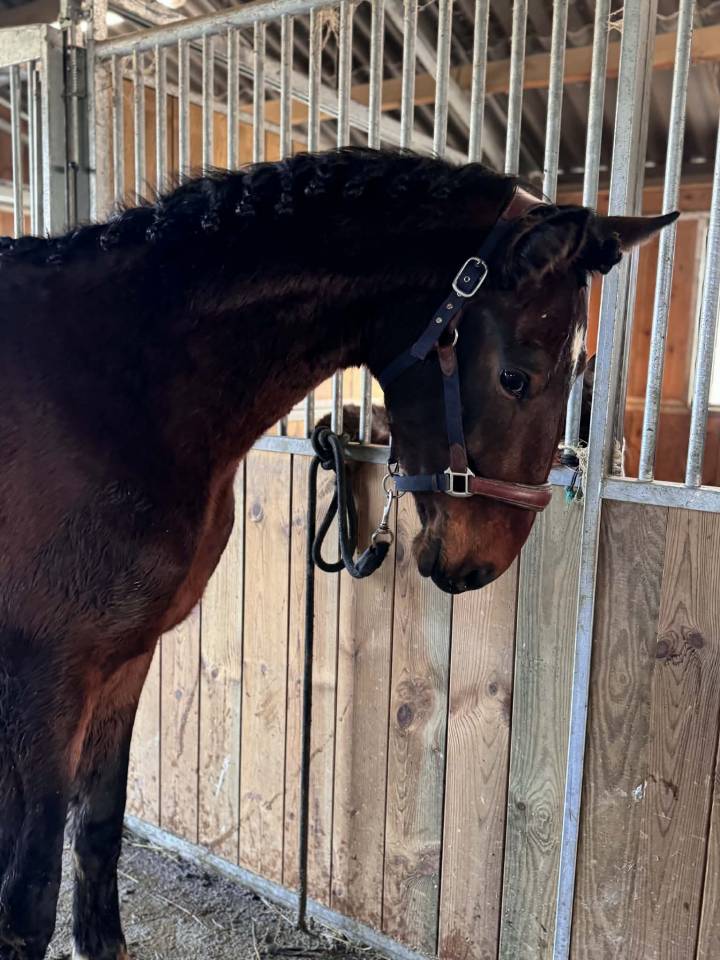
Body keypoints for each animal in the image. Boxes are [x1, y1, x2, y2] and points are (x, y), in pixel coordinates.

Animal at [0, 147, 673, 959]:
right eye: (517, 376)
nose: (477, 564)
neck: (112, 386)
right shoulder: (49, 674)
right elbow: (29, 896)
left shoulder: (124, 658)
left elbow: (97, 830)